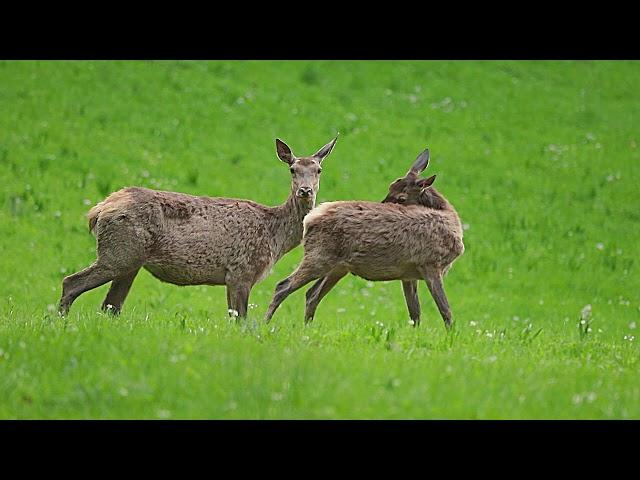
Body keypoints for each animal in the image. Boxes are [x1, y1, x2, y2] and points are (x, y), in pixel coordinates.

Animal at [58, 136, 340, 318]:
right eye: (292, 169)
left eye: (318, 169)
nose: (305, 191)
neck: (275, 236)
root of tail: (97, 210)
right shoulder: (241, 270)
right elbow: (240, 319)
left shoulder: (232, 277)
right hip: (120, 252)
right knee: (71, 282)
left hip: (130, 262)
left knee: (110, 306)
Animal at [262, 149, 462, 330]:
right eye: (390, 188)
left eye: (401, 197)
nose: (380, 205)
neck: (450, 219)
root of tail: (310, 218)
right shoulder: (431, 263)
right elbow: (446, 311)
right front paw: (450, 336)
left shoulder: (409, 274)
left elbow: (415, 314)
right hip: (318, 256)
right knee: (283, 286)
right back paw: (265, 324)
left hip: (337, 267)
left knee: (311, 294)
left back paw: (306, 328)